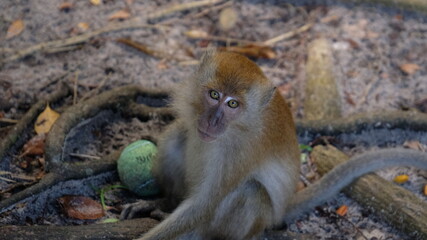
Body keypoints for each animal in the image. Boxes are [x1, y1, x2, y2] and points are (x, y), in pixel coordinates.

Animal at [121, 49, 427, 239]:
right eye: (214, 94)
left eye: (233, 104)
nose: (212, 121)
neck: (236, 129)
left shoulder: (241, 152)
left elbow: (205, 204)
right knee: (177, 135)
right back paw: (165, 202)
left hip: (258, 219)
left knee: (251, 191)